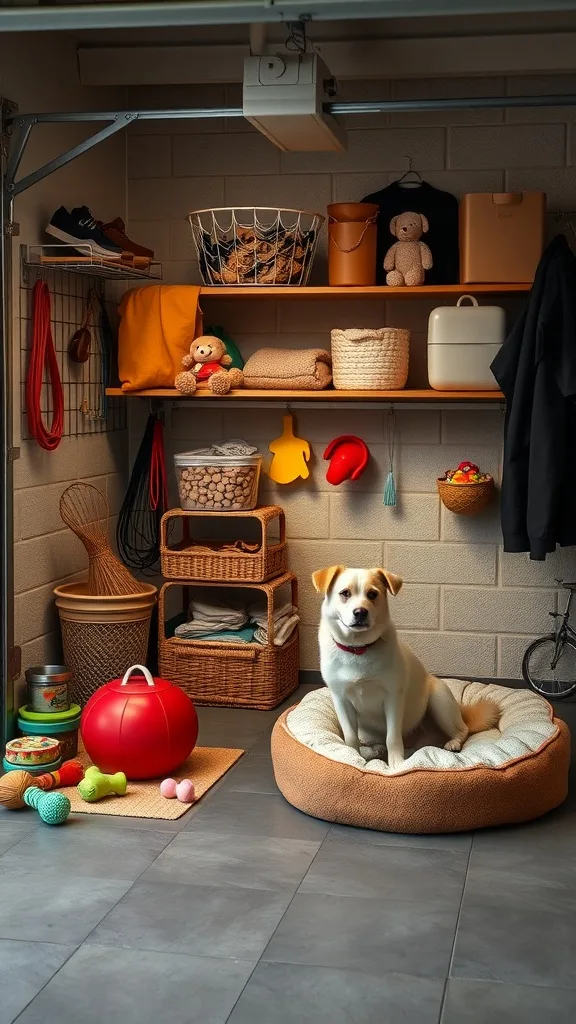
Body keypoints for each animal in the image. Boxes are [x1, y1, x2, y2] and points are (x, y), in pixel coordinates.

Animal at [311, 569, 496, 770]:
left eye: (372, 594)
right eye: (345, 593)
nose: (360, 612)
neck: (358, 649)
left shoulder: (392, 698)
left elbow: (392, 737)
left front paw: (396, 764)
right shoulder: (341, 700)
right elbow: (350, 737)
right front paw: (352, 757)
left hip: (439, 700)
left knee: (463, 729)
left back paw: (453, 741)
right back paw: (376, 750)